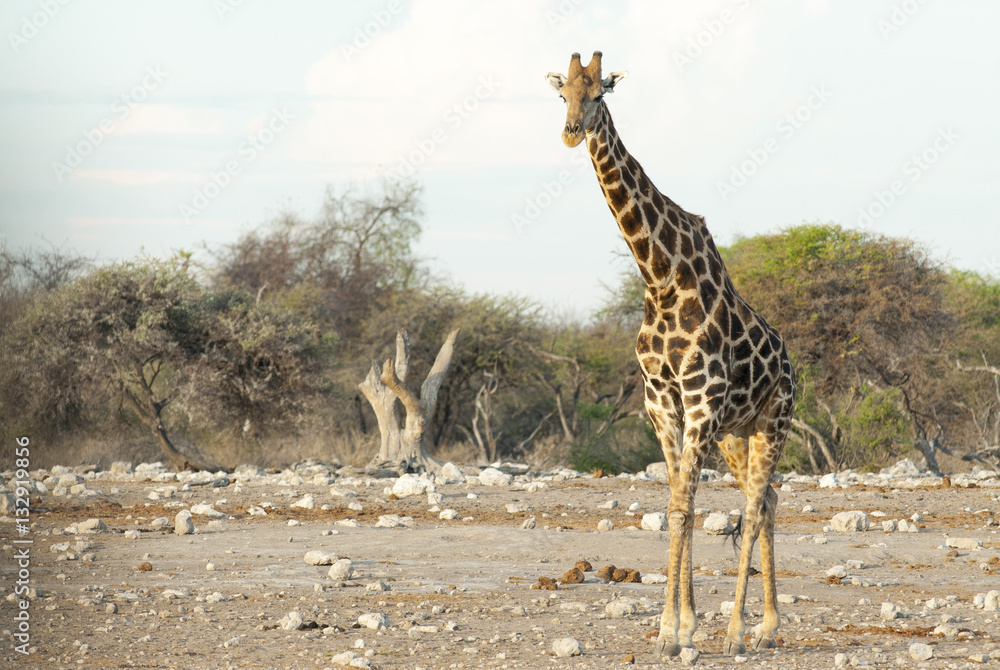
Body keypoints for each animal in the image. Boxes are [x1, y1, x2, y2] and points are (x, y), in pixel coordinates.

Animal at [546, 52, 796, 658]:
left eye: (600, 94)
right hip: (736, 433)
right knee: (767, 502)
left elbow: (683, 509)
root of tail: (791, 363)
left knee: (755, 506)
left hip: (773, 420)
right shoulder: (662, 402)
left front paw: (675, 631)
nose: (570, 132)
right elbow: (677, 506)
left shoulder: (700, 400)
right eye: (562, 93)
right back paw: (767, 625)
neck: (660, 278)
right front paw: (679, 626)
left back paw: (740, 631)